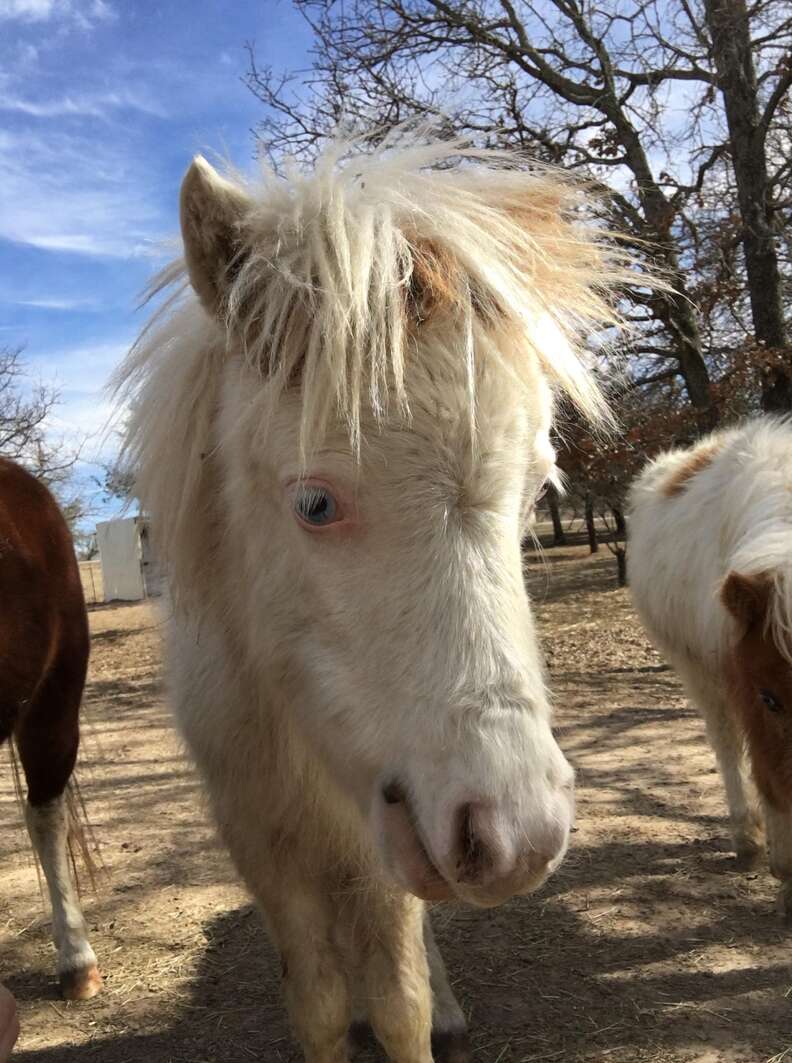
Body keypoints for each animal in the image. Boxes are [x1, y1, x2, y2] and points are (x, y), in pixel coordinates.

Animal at [117, 137, 633, 1058]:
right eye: (315, 503)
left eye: (538, 490)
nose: (522, 834)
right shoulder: (265, 848)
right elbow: (319, 1002)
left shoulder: (378, 834)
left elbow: (399, 996)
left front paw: (423, 1008)